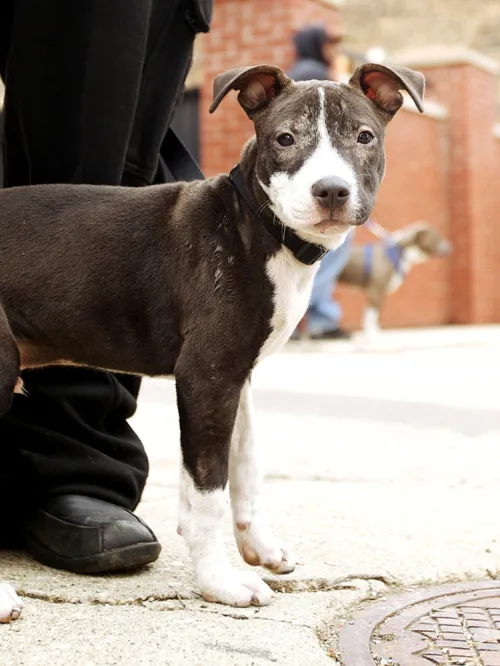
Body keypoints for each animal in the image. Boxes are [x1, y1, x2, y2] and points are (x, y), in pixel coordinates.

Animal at [0, 59, 426, 616]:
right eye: (285, 138)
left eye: (364, 136)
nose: (331, 190)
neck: (260, 226)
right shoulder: (207, 374)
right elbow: (209, 491)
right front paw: (219, 582)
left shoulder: (236, 373)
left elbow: (245, 465)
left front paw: (259, 546)